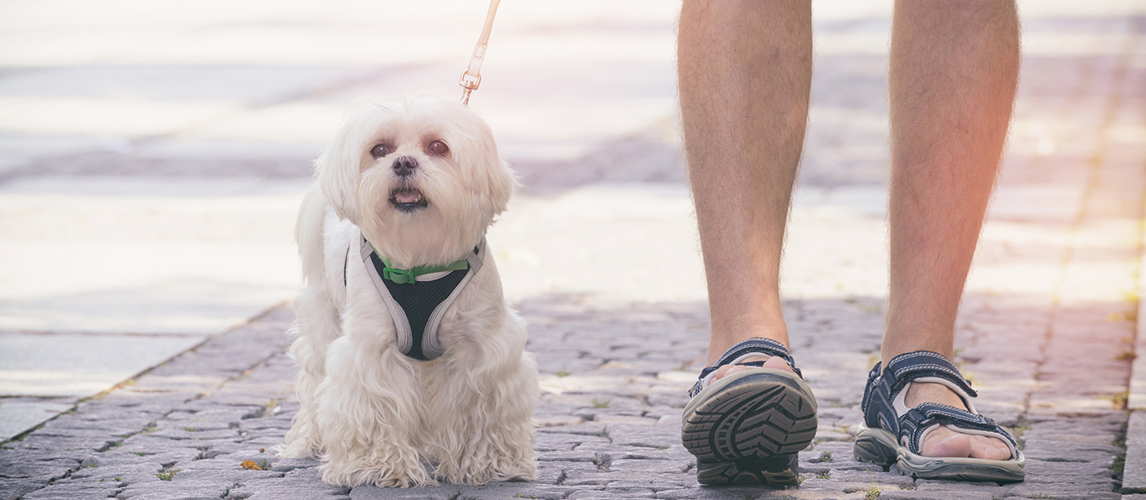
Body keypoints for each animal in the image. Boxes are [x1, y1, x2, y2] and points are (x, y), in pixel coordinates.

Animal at [281, 95, 540, 486]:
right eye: (380, 149)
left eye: (438, 147)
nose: (403, 162)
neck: (420, 262)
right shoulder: (372, 348)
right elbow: (373, 403)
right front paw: (377, 465)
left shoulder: (482, 346)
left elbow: (481, 406)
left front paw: (488, 462)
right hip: (322, 319)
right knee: (314, 383)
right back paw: (311, 439)